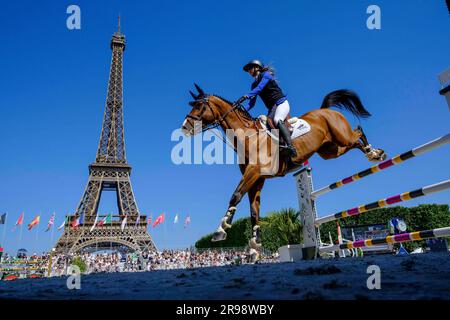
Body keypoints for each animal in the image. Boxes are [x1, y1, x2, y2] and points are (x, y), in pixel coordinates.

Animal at [181, 85, 384, 262]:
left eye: (199, 106)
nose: (185, 127)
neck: (248, 136)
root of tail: (324, 110)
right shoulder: (258, 180)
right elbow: (254, 212)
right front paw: (254, 248)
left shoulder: (253, 173)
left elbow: (235, 196)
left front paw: (221, 230)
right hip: (330, 151)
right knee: (353, 142)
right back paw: (374, 153)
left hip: (341, 137)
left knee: (357, 132)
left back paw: (374, 153)